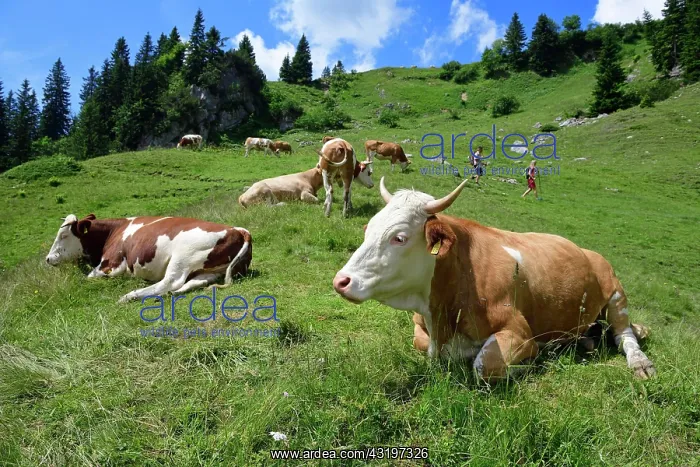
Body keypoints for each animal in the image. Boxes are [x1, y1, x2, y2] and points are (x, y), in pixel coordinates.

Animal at [46, 214, 253, 304]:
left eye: (63, 235)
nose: (48, 258)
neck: (114, 230)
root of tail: (237, 230)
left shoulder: (112, 265)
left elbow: (87, 277)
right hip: (210, 269)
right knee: (193, 283)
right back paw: (172, 294)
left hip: (182, 256)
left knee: (170, 282)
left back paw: (130, 296)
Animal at [332, 178, 656, 381]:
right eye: (368, 228)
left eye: (399, 237)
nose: (341, 281)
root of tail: (590, 252)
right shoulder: (422, 330)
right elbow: (421, 345)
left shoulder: (518, 331)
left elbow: (483, 366)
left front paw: (532, 362)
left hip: (616, 293)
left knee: (624, 335)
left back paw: (640, 363)